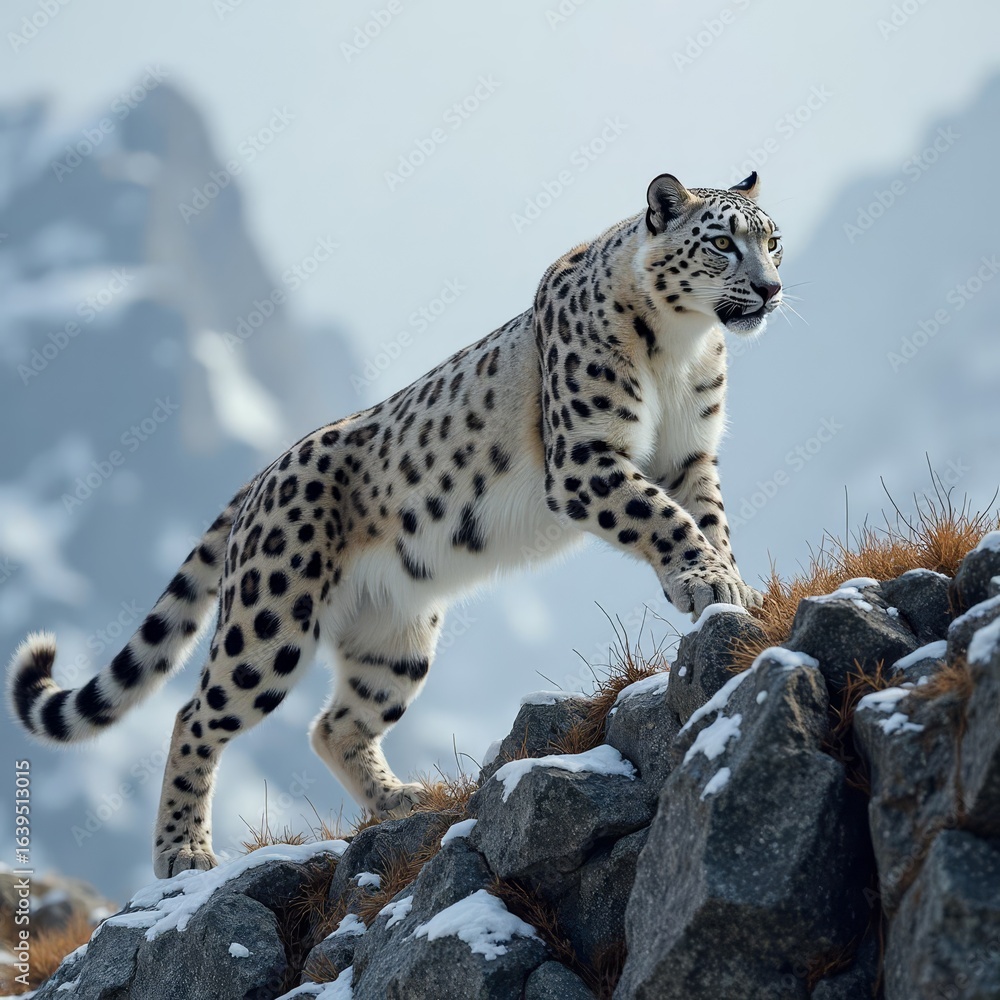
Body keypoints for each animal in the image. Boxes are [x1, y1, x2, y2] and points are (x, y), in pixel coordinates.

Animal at [8, 171, 782, 879]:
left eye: (771, 240)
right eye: (722, 243)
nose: (771, 288)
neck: (683, 350)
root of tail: (266, 473)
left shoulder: (690, 454)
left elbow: (707, 518)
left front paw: (734, 588)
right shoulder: (585, 457)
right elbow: (662, 516)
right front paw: (705, 581)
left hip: (394, 637)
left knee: (334, 724)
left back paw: (398, 800)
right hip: (269, 618)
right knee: (196, 714)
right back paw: (183, 851)